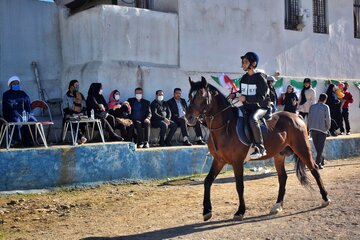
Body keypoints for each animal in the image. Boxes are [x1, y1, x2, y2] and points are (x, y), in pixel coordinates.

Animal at [187, 76, 330, 221]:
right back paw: (277, 205)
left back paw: (325, 198)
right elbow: (207, 181)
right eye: (189, 96)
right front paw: (207, 211)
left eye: (201, 95)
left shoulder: (237, 162)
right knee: (283, 177)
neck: (225, 126)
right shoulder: (219, 160)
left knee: (314, 170)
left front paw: (240, 211)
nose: (189, 117)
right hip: (279, 155)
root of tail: (296, 116)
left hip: (302, 149)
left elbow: (239, 186)